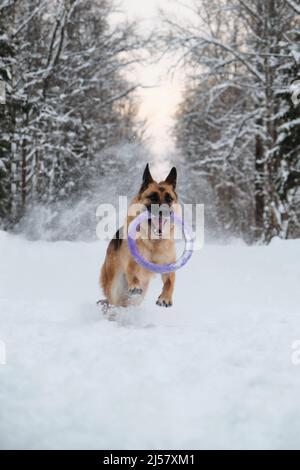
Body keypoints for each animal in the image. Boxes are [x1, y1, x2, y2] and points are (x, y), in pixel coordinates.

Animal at [99, 164, 177, 308]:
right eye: (153, 197)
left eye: (169, 199)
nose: (163, 211)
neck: (154, 241)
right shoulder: (131, 263)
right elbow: (132, 272)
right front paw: (135, 285)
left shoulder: (168, 266)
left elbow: (170, 281)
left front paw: (165, 298)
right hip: (115, 287)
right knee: (113, 304)